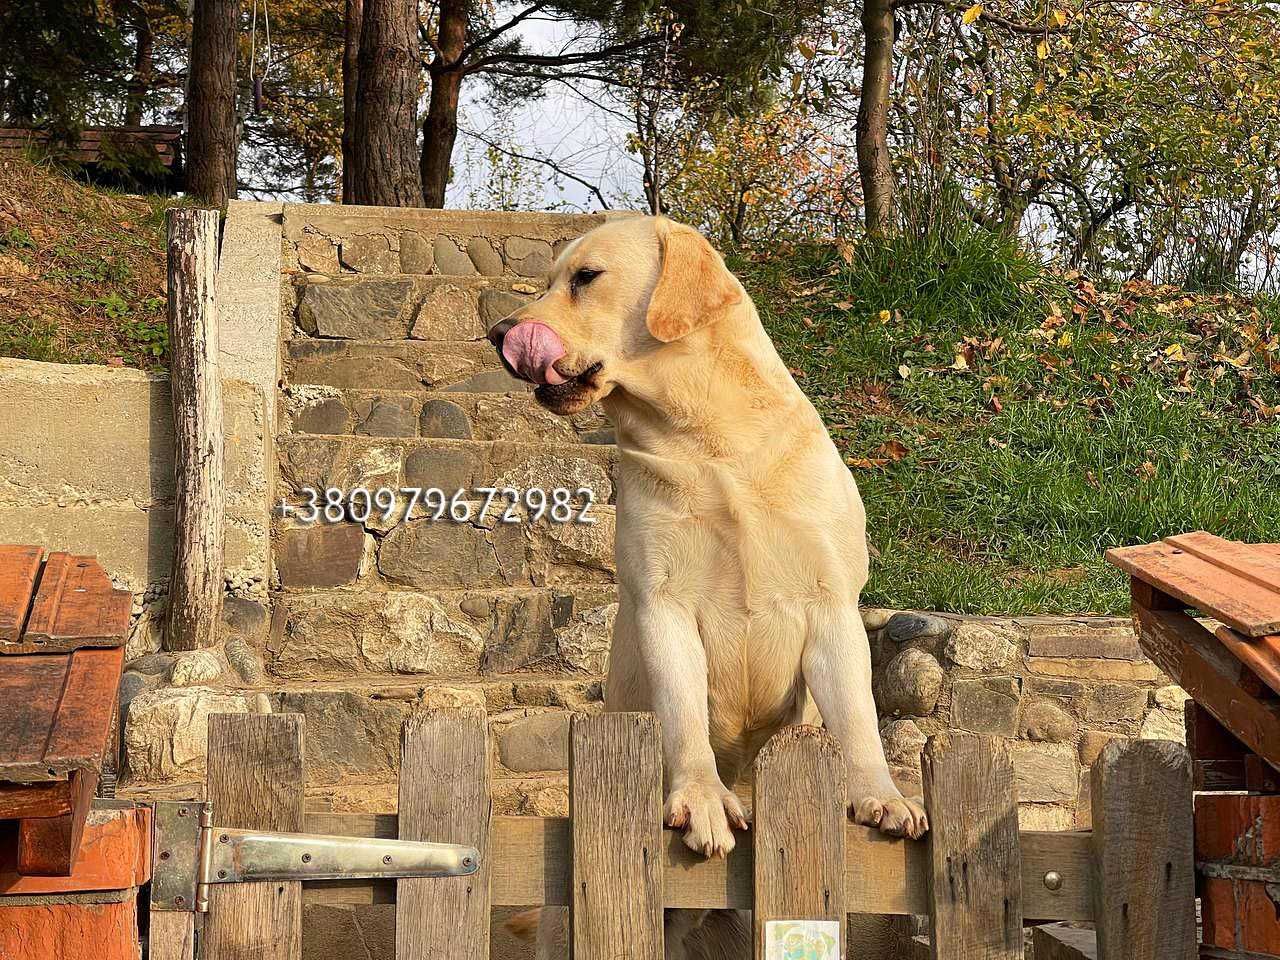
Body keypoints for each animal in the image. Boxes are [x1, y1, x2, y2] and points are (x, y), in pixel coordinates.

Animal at [483, 212, 926, 855]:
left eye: (585, 277)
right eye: (547, 282)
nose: (498, 335)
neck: (711, 443)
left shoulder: (831, 603)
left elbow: (858, 714)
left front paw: (881, 794)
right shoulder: (663, 602)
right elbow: (682, 710)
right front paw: (701, 798)